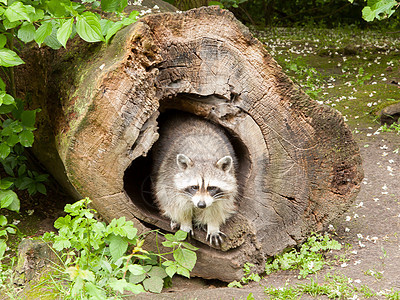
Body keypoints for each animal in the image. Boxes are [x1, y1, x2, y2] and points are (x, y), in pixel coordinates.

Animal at [151, 112, 238, 246]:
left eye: (211, 187)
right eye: (194, 187)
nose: (201, 205)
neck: (203, 157)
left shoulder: (230, 182)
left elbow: (219, 207)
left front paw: (213, 224)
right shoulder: (168, 177)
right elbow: (175, 203)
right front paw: (185, 221)